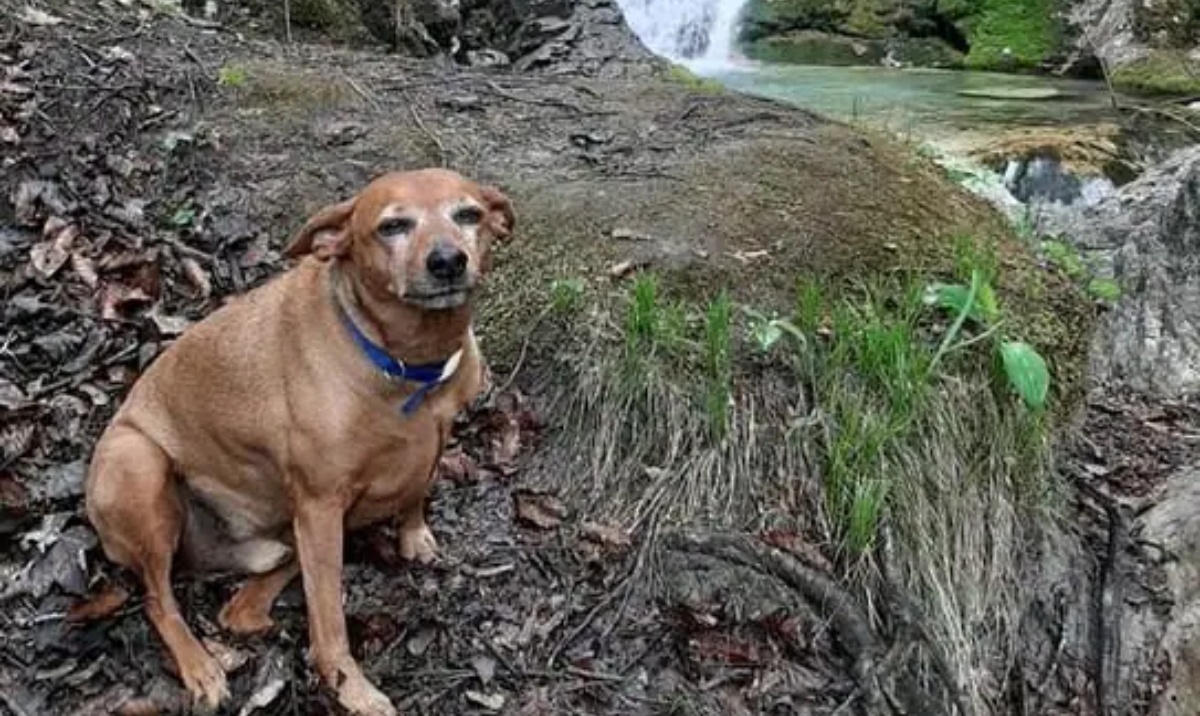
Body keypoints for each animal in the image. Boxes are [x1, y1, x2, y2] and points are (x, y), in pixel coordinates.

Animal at [83, 169, 516, 714]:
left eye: (468, 214)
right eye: (392, 226)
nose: (448, 261)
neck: (406, 363)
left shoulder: (433, 438)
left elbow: (417, 489)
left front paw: (414, 534)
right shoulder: (320, 503)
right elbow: (329, 621)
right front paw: (349, 687)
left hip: (286, 533)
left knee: (239, 606)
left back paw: (248, 613)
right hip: (140, 464)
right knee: (158, 600)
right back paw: (201, 667)